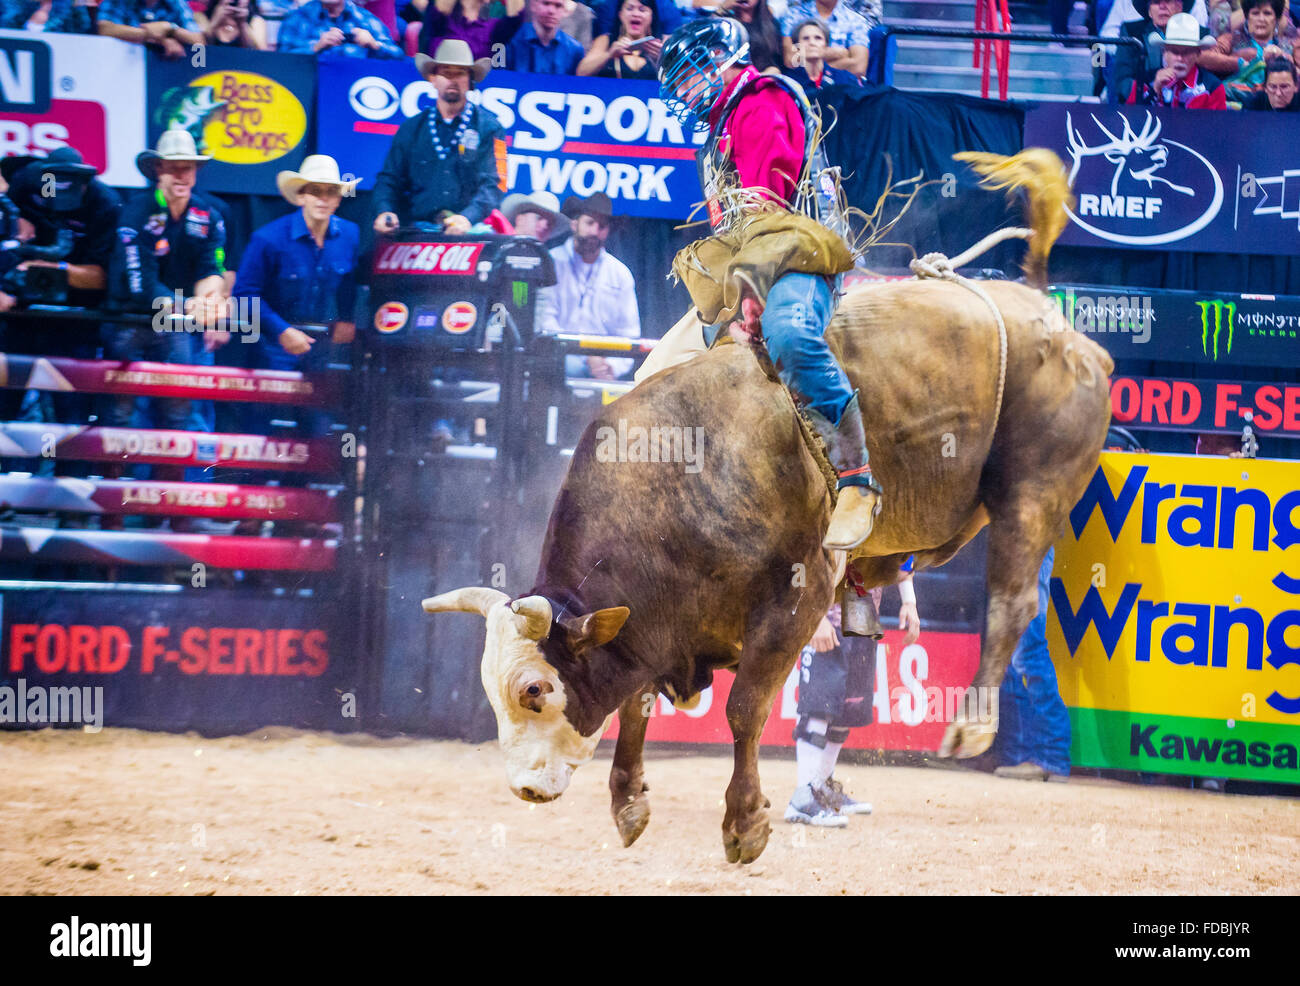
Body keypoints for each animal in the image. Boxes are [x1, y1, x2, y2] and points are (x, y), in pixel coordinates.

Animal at [421, 152, 1112, 863]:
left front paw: (745, 821)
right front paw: (630, 800)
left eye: (535, 689)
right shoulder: (657, 624)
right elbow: (638, 699)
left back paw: (972, 725)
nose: (525, 789)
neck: (680, 479)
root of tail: (1046, 313)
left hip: (1033, 488)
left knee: (1014, 600)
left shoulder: (799, 597)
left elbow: (745, 707)